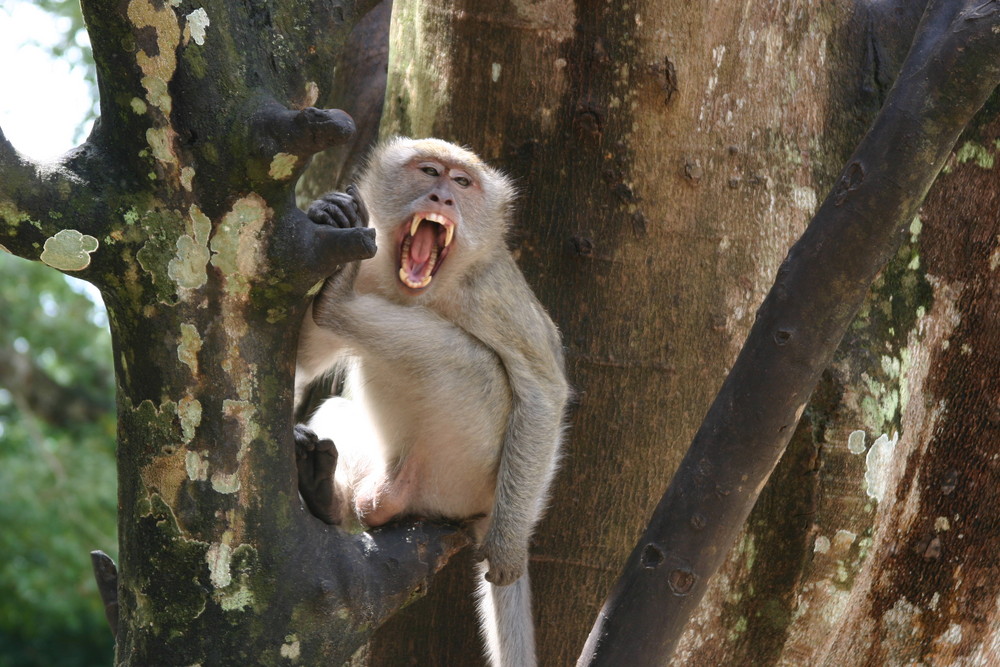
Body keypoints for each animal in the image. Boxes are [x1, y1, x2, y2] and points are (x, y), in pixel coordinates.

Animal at [292, 137, 568, 667]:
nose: (442, 197)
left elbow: (544, 390)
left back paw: (338, 303)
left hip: (463, 472)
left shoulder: (492, 294)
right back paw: (329, 494)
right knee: (339, 411)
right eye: (428, 172)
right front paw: (326, 210)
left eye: (462, 182)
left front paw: (508, 548)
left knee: (467, 360)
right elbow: (301, 361)